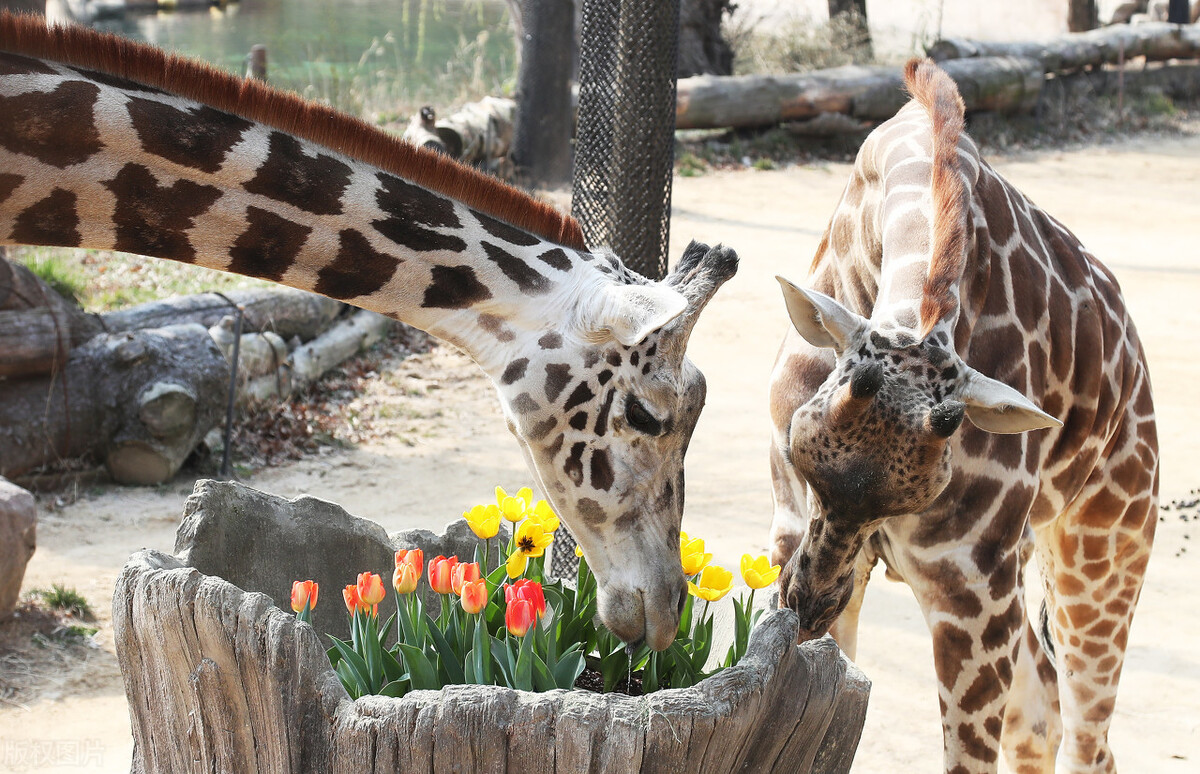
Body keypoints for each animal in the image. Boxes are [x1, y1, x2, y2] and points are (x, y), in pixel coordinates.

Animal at [772, 60, 1156, 772]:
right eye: (807, 464)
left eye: (914, 497)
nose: (806, 604)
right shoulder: (793, 525)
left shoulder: (971, 591)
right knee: (1041, 720)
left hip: (1105, 549)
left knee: (1086, 737)